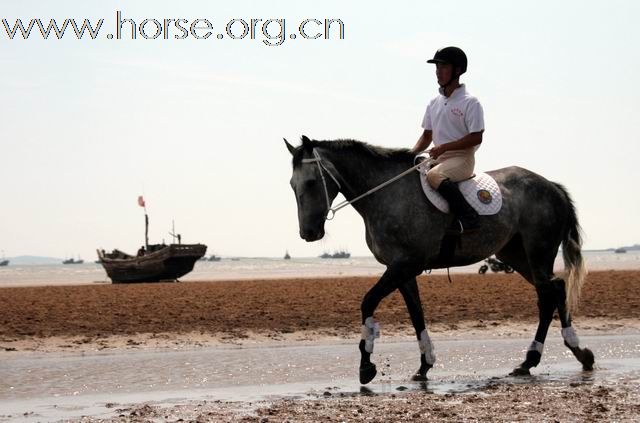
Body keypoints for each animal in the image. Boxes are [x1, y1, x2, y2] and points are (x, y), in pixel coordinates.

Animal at [284, 136, 596, 384]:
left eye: (311, 182)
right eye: (292, 184)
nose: (308, 233)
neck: (386, 194)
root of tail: (550, 185)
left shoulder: (404, 265)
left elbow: (369, 302)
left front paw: (366, 365)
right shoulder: (402, 270)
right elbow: (416, 314)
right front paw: (424, 365)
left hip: (537, 253)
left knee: (551, 292)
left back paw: (550, 355)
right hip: (516, 255)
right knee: (552, 291)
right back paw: (557, 357)